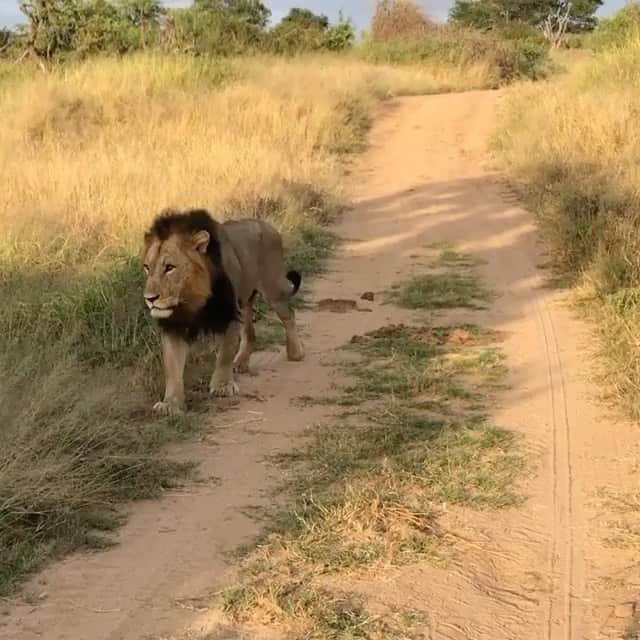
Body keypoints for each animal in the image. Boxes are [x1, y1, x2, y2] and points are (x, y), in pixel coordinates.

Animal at [142, 208, 304, 415]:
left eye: (170, 267)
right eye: (147, 267)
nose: (150, 298)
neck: (192, 299)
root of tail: (268, 226)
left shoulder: (229, 314)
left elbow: (225, 353)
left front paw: (222, 386)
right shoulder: (174, 324)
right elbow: (172, 366)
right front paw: (170, 403)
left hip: (272, 289)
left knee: (289, 315)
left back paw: (295, 352)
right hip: (245, 302)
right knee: (250, 332)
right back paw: (240, 362)